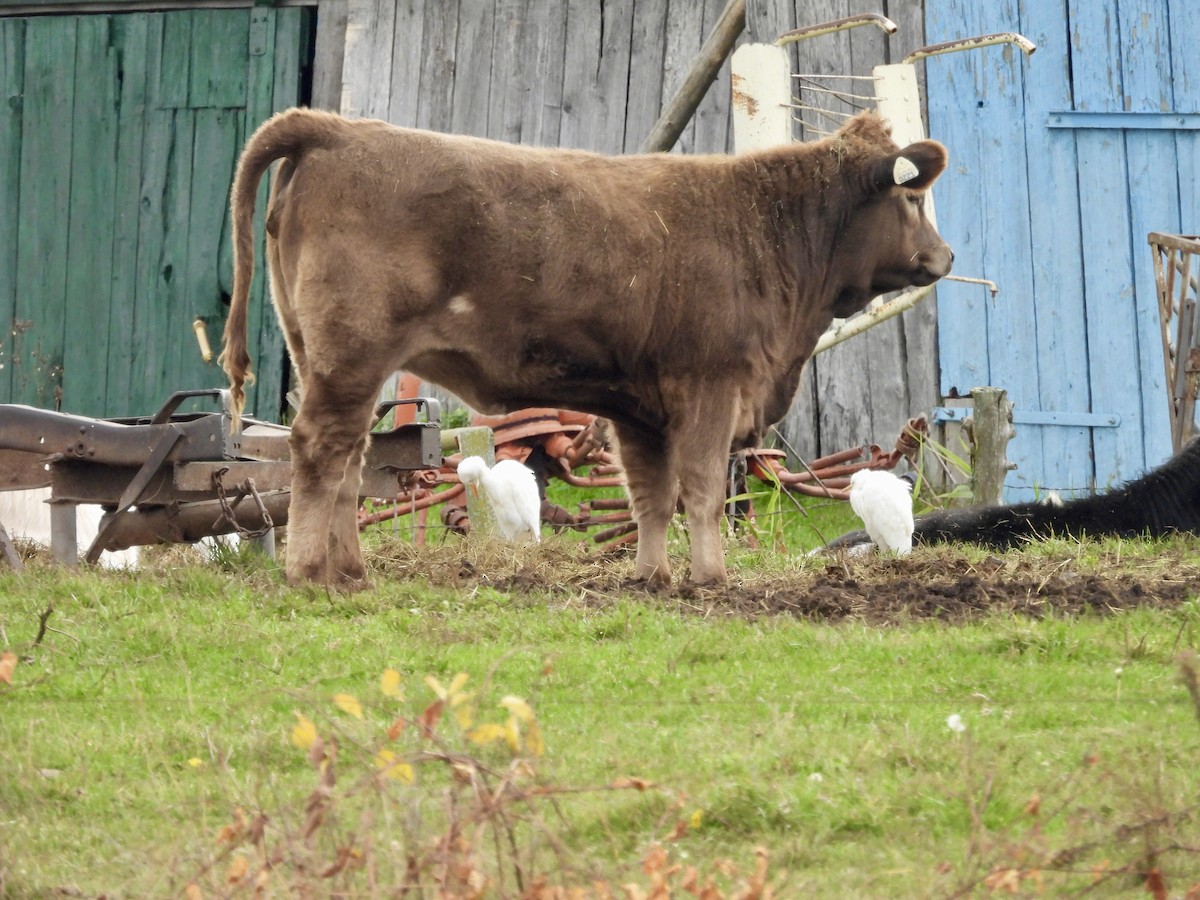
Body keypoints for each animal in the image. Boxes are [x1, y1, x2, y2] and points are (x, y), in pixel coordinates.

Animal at [221, 107, 952, 589]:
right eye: (914, 198)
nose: (943, 257)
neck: (766, 232)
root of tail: (337, 127)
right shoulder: (712, 384)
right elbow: (702, 489)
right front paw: (711, 578)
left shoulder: (641, 409)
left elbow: (652, 494)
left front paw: (653, 576)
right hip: (351, 354)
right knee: (322, 449)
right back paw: (308, 571)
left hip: (332, 358)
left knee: (352, 458)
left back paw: (350, 571)